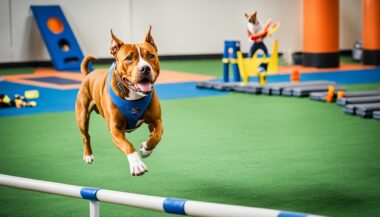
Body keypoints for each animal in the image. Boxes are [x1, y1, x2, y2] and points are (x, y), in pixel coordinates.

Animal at [75, 26, 163, 176]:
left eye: (151, 55)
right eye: (129, 58)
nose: (145, 68)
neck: (133, 95)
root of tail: (89, 74)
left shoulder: (156, 120)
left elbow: (156, 136)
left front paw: (146, 149)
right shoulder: (115, 129)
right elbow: (128, 145)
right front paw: (137, 164)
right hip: (82, 116)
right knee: (85, 136)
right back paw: (88, 155)